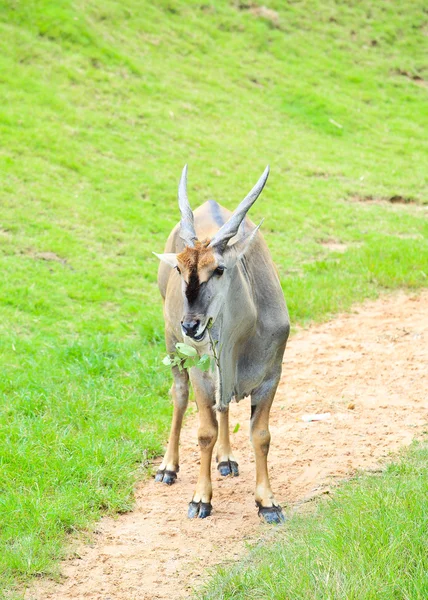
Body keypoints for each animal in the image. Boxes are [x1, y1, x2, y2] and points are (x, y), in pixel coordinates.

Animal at [152, 166, 290, 524]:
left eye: (218, 269)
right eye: (179, 267)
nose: (191, 325)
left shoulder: (271, 376)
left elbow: (261, 435)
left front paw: (268, 503)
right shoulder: (201, 373)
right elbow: (205, 432)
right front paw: (201, 499)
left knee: (223, 406)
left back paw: (226, 459)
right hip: (173, 348)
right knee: (179, 395)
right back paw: (168, 467)